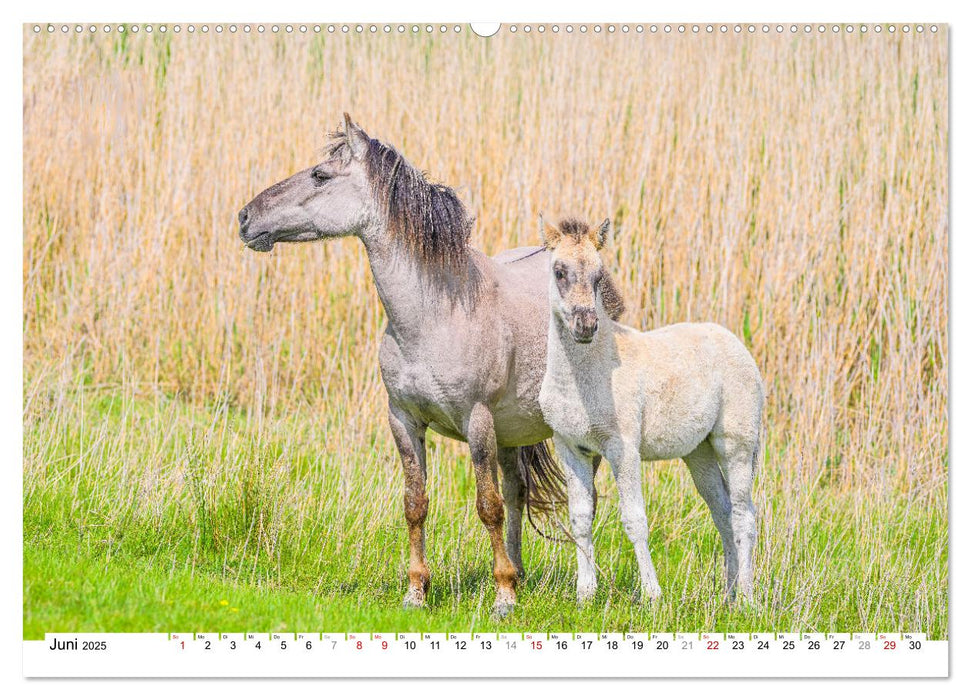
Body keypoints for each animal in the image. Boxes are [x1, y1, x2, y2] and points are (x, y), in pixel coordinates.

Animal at [238, 112, 620, 616]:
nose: (245, 217)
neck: (434, 314)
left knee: (581, 501)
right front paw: (417, 590)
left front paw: (501, 598)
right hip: (512, 434)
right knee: (518, 492)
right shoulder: (403, 420)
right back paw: (520, 573)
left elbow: (487, 506)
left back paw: (579, 589)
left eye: (320, 176)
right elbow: (415, 503)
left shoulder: (477, 423)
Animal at [540, 219, 768, 600]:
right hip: (699, 453)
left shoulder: (623, 449)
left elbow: (634, 519)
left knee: (744, 515)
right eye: (559, 271)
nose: (585, 326)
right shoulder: (571, 448)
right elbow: (580, 518)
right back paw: (728, 595)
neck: (587, 376)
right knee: (722, 511)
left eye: (599, 276)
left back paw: (748, 597)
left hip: (736, 445)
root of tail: (737, 345)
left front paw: (652, 594)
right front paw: (585, 593)